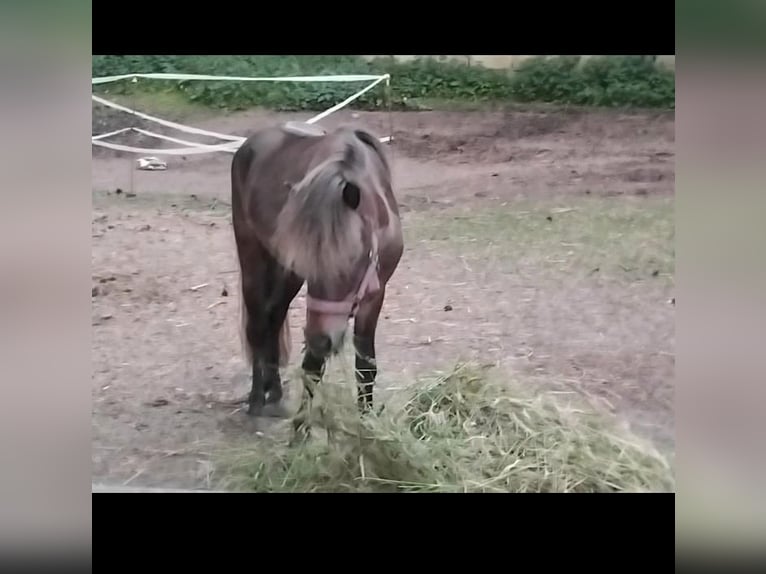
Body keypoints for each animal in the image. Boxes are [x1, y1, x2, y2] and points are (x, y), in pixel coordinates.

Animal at [230, 121, 403, 439]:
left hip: (285, 271)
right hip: (252, 253)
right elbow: (312, 366)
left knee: (274, 316)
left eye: (354, 259)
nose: (322, 340)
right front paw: (300, 432)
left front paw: (367, 425)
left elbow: (366, 365)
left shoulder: (375, 295)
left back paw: (274, 392)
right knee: (258, 322)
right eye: (312, 262)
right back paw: (257, 399)